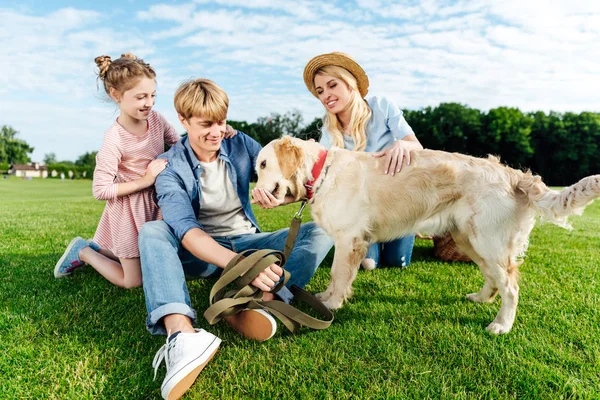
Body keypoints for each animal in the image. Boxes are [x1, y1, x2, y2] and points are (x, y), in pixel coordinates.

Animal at [254, 137, 600, 334]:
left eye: (263, 163)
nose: (256, 195)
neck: (323, 173)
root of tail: (514, 174)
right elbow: (337, 276)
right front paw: (326, 298)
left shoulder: (350, 239)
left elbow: (339, 275)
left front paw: (332, 303)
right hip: (470, 239)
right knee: (494, 280)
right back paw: (480, 298)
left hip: (488, 241)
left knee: (511, 287)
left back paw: (501, 325)